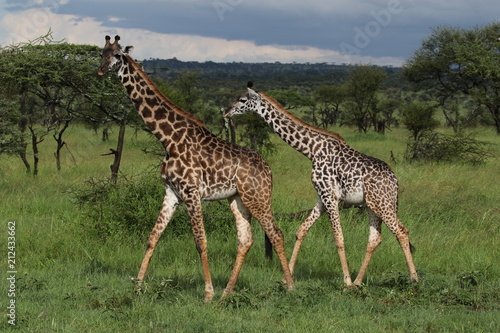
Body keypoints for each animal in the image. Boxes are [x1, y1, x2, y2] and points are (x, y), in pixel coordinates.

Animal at [226, 82, 418, 286]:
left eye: (242, 100)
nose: (227, 112)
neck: (312, 150)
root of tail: (394, 181)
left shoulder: (330, 195)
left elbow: (338, 237)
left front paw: (346, 282)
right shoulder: (321, 196)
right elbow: (301, 230)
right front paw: (287, 277)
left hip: (383, 203)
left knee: (401, 231)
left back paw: (413, 278)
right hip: (372, 205)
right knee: (375, 239)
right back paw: (358, 282)